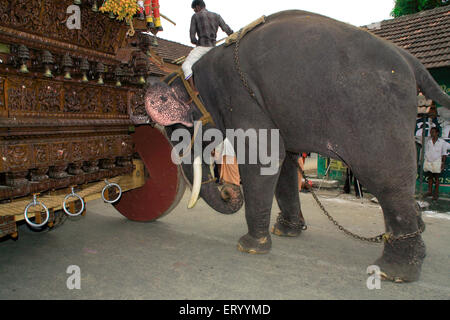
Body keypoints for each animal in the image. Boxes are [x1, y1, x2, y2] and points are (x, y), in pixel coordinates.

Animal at [141, 9, 450, 282]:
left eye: (176, 130)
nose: (228, 191)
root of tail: (410, 61)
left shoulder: (240, 94)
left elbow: (264, 157)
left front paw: (249, 246)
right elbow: (285, 162)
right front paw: (286, 232)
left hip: (375, 110)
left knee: (385, 176)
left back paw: (393, 272)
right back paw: (417, 238)